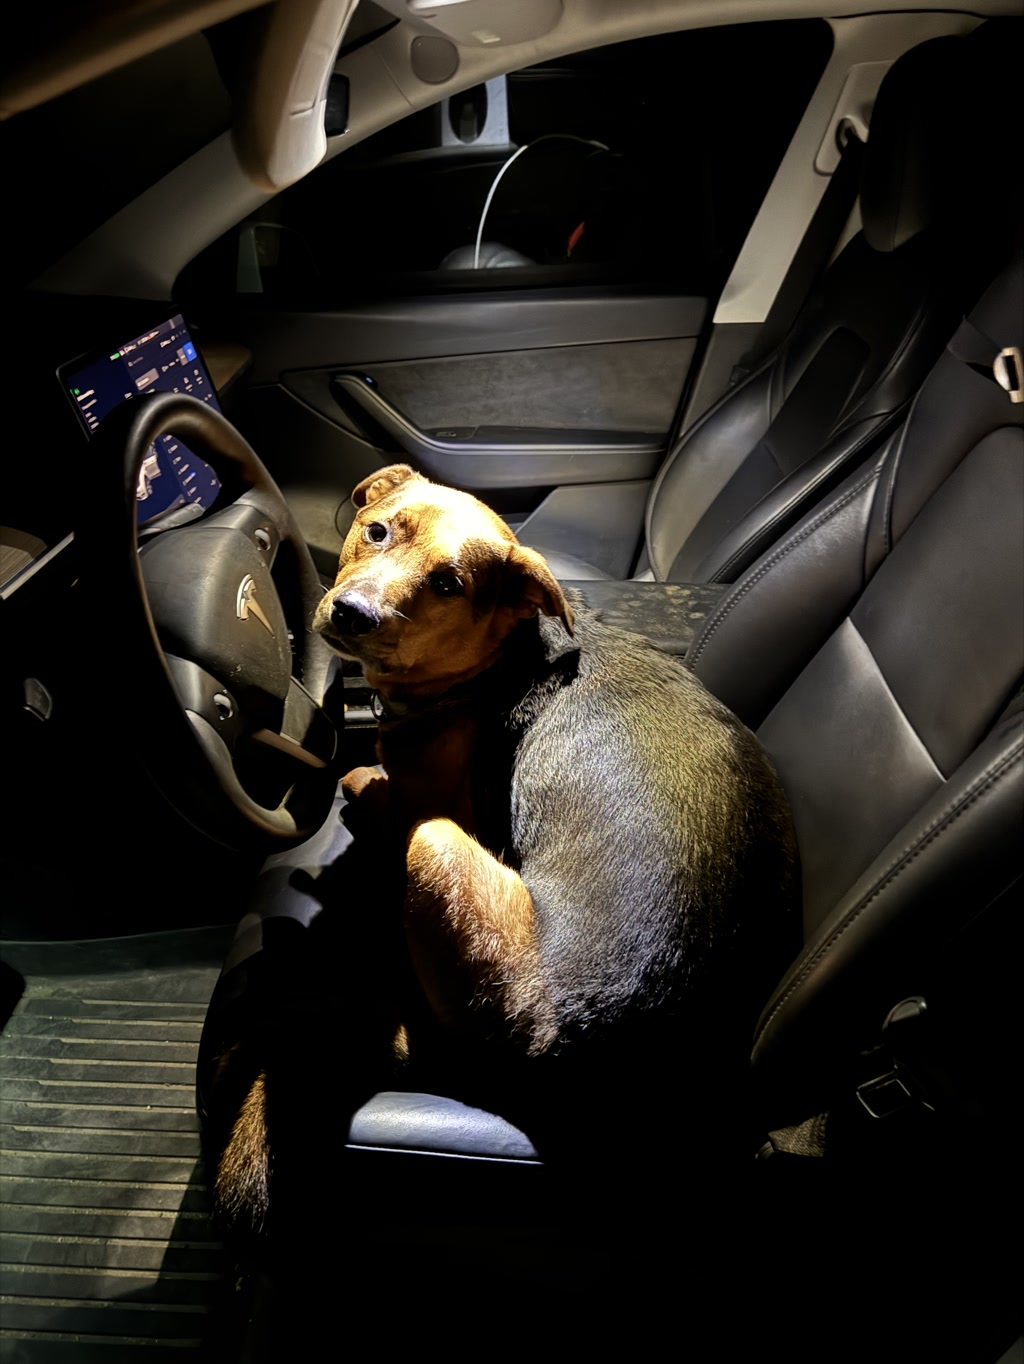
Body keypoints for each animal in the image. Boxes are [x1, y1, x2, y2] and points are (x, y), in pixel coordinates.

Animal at [209, 463, 801, 1243]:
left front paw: (364, 786)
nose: (353, 615)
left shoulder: (430, 805)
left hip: (437, 856)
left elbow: (380, 787)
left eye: (448, 585)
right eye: (377, 531)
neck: (501, 658)